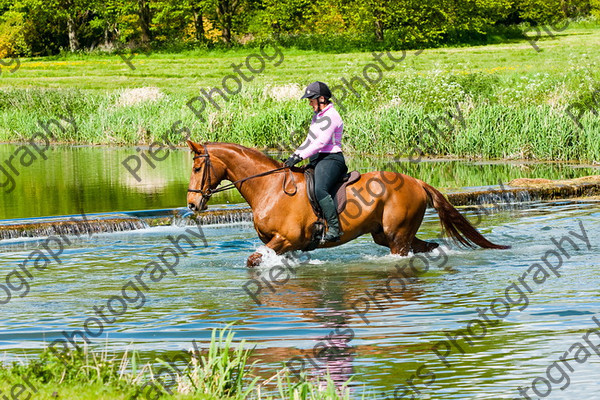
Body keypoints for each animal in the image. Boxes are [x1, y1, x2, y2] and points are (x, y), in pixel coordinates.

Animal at [186, 142, 506, 268]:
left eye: (197, 168)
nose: (192, 204)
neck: (270, 188)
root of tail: (416, 181)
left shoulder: (285, 239)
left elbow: (253, 261)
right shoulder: (281, 245)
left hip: (397, 235)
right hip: (387, 233)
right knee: (427, 246)